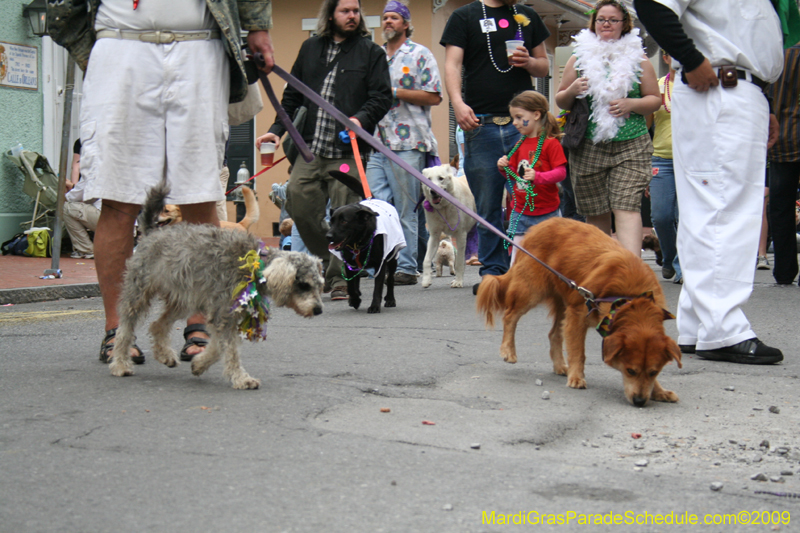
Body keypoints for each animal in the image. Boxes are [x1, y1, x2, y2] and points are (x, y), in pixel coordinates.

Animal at [109, 182, 324, 386]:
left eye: (319, 285)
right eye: (304, 285)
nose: (318, 310)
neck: (254, 266)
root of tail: (150, 233)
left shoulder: (225, 316)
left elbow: (219, 347)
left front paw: (199, 364)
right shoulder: (224, 315)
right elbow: (229, 349)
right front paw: (241, 379)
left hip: (183, 301)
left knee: (157, 325)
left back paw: (165, 355)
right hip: (138, 295)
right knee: (125, 330)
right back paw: (120, 363)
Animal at [324, 170, 404, 312]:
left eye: (344, 221)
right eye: (331, 221)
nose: (328, 236)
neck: (357, 243)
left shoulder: (380, 265)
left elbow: (377, 288)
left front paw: (374, 306)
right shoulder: (349, 264)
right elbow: (351, 285)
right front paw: (355, 299)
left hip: (392, 258)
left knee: (390, 280)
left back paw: (390, 299)